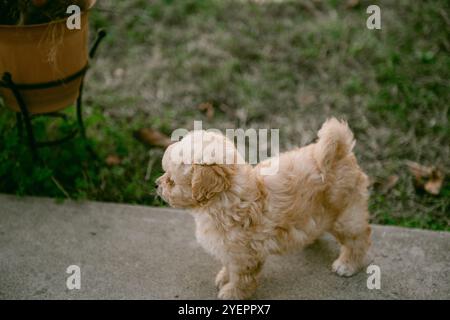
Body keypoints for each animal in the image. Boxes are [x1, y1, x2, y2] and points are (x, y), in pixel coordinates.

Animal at [156, 119, 370, 298]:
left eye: (172, 181)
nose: (157, 184)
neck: (227, 198)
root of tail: (340, 152)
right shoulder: (229, 250)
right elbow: (228, 266)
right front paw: (224, 277)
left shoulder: (244, 256)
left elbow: (241, 279)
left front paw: (232, 293)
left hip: (346, 215)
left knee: (359, 238)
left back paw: (347, 265)